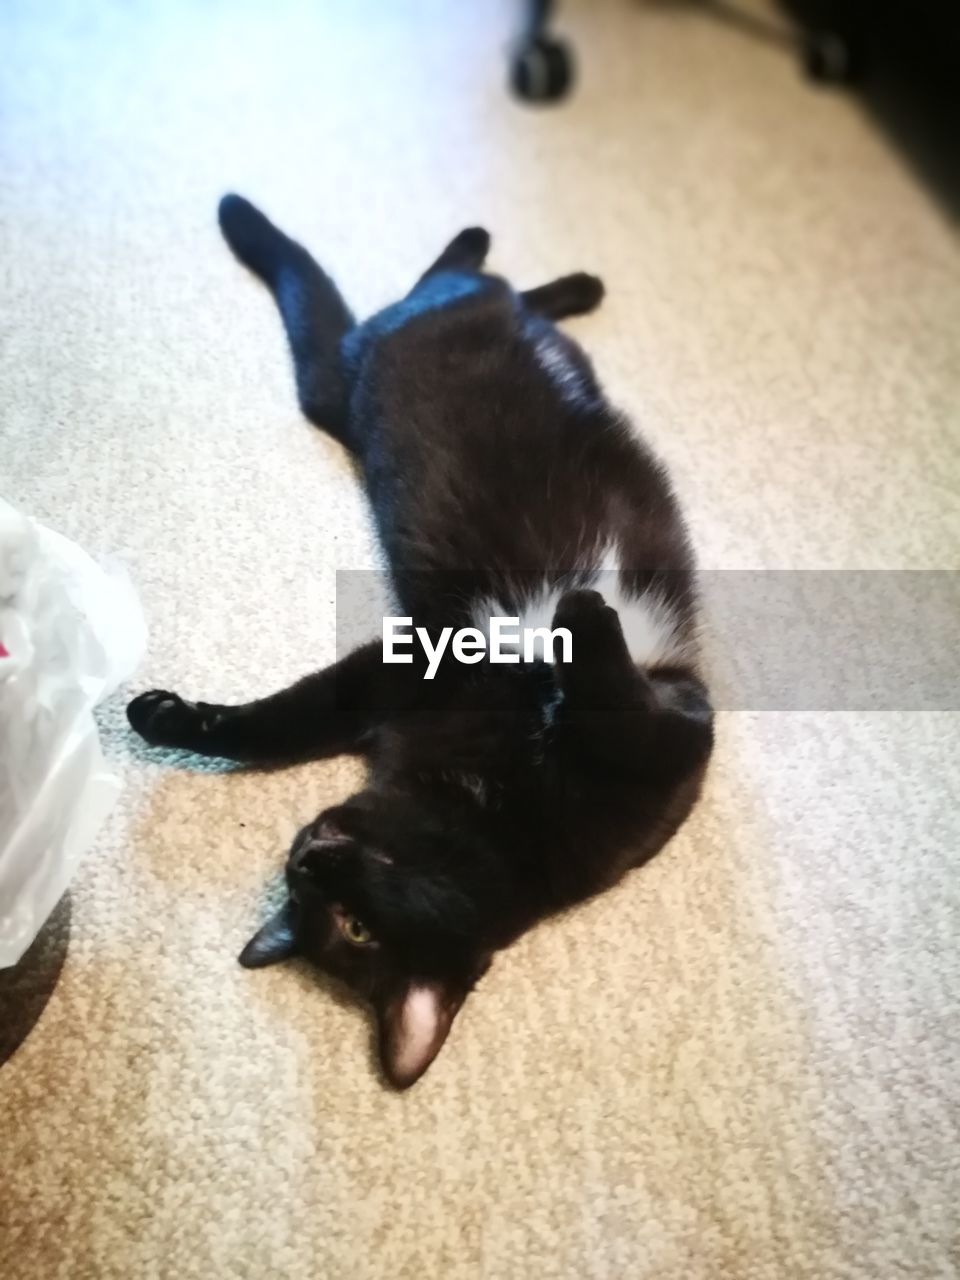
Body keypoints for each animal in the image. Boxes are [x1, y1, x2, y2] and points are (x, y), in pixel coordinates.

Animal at [128, 194, 716, 1085]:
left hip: (401, 347)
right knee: (463, 284)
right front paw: (167, 718)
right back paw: (541, 268)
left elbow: (618, 713)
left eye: (353, 927)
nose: (309, 856)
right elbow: (283, 722)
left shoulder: (675, 731)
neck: (497, 801)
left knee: (465, 284)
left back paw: (557, 274)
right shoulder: (418, 670)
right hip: (397, 346)